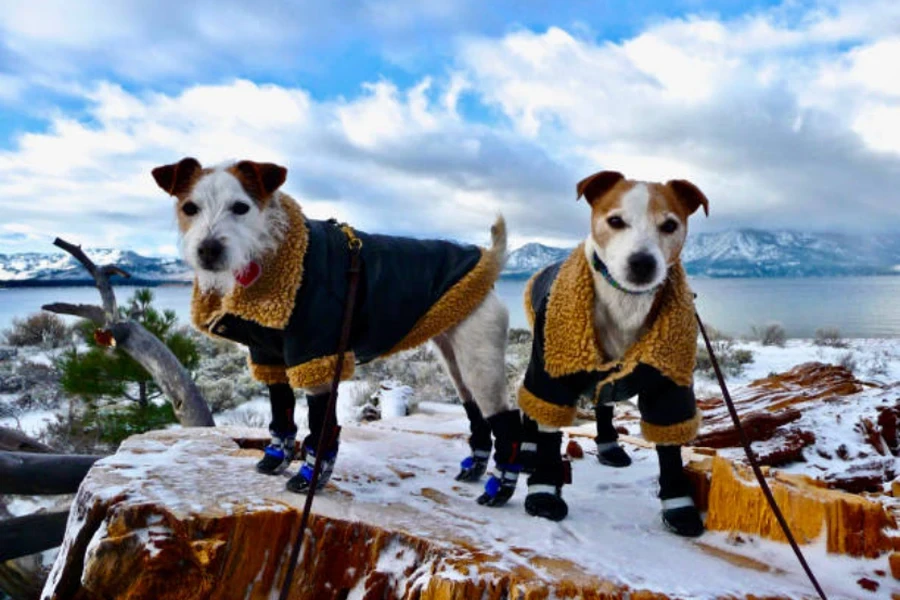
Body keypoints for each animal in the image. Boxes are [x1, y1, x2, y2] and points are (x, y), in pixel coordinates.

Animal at [151, 157, 524, 504]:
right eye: (190, 208)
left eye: (240, 207)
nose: (208, 250)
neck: (271, 254)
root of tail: (489, 263)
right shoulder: (269, 355)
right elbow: (282, 414)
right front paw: (275, 457)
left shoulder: (317, 358)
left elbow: (321, 429)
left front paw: (308, 477)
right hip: (454, 359)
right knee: (476, 412)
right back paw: (475, 467)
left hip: (479, 362)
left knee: (506, 421)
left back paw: (500, 488)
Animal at [520, 170, 712, 540]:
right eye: (615, 221)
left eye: (670, 225)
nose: (642, 263)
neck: (626, 302)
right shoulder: (552, 367)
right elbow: (548, 424)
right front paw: (545, 490)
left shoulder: (669, 375)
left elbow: (670, 442)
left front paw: (678, 505)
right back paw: (526, 449)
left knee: (604, 404)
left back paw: (609, 445)